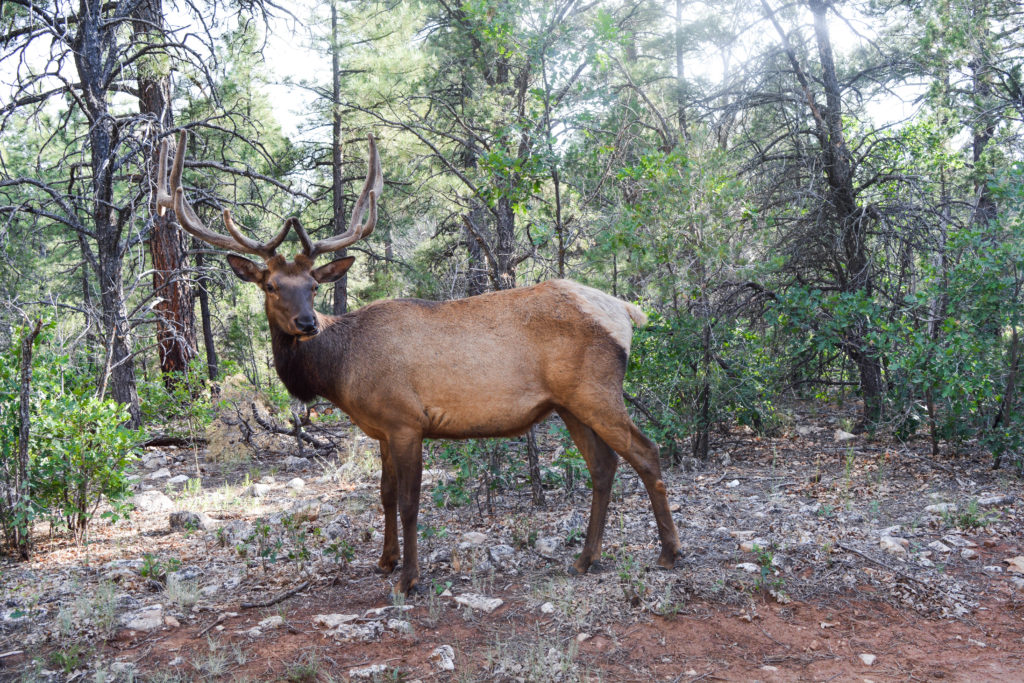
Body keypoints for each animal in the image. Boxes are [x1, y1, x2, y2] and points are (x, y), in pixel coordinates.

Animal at [155, 129, 679, 593]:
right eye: (270, 285)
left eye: (314, 286)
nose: (306, 324)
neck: (341, 370)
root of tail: (627, 311)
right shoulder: (382, 429)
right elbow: (384, 495)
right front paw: (385, 561)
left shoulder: (407, 420)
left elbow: (409, 502)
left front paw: (409, 579)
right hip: (568, 404)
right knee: (604, 466)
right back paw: (586, 558)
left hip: (596, 391)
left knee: (647, 451)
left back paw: (669, 551)